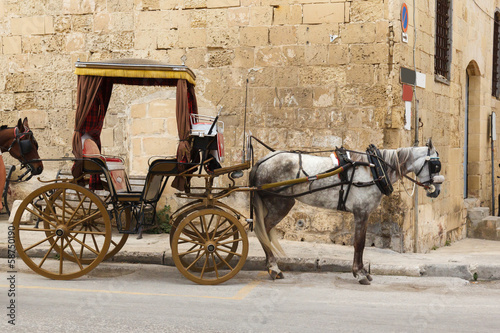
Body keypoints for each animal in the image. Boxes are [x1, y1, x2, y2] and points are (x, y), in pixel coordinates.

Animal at [252, 140, 444, 282]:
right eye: (435, 166)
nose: (437, 191)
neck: (375, 169)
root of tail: (261, 162)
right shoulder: (361, 212)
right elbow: (359, 243)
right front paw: (359, 273)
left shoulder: (364, 214)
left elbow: (361, 243)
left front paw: (362, 271)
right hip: (281, 204)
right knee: (262, 230)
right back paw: (273, 267)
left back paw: (271, 266)